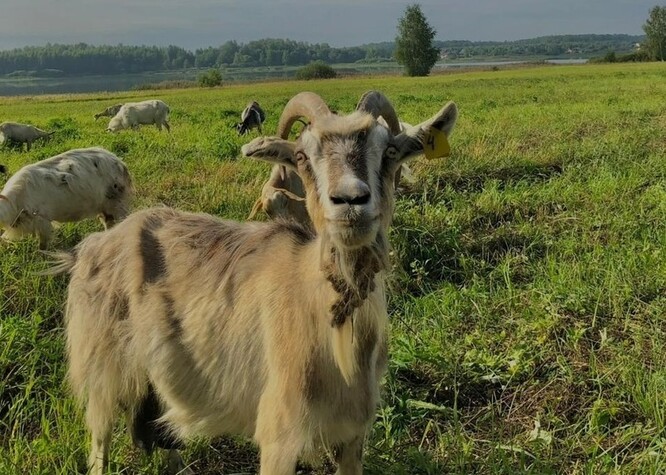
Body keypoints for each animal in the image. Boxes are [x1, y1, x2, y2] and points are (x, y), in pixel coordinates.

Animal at [1, 147, 132, 249]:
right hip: (105, 207)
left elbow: (43, 246)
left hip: (118, 204)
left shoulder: (42, 220)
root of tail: (121, 164)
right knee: (109, 224)